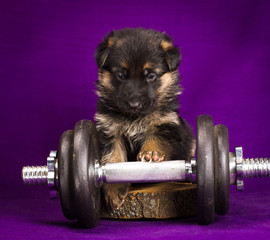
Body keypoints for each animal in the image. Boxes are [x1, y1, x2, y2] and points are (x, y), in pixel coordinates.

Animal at [94, 27, 194, 208]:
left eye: (150, 76)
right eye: (121, 75)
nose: (134, 104)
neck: (134, 117)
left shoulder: (165, 125)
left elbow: (156, 140)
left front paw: (152, 153)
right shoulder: (109, 130)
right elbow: (113, 159)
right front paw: (114, 188)